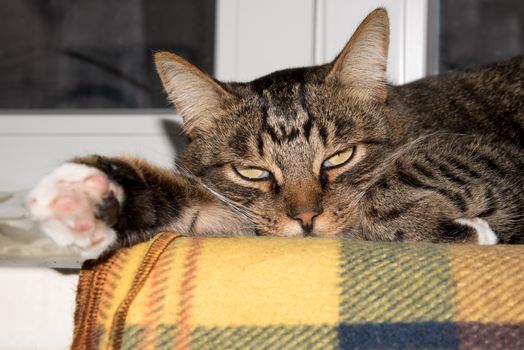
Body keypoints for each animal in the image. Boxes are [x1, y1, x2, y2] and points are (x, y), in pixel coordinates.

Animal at [28, 8, 524, 260]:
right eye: (252, 171)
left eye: (339, 157)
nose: (305, 219)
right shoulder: (234, 217)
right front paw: (84, 196)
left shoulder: (501, 154)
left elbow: (396, 181)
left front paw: (468, 230)